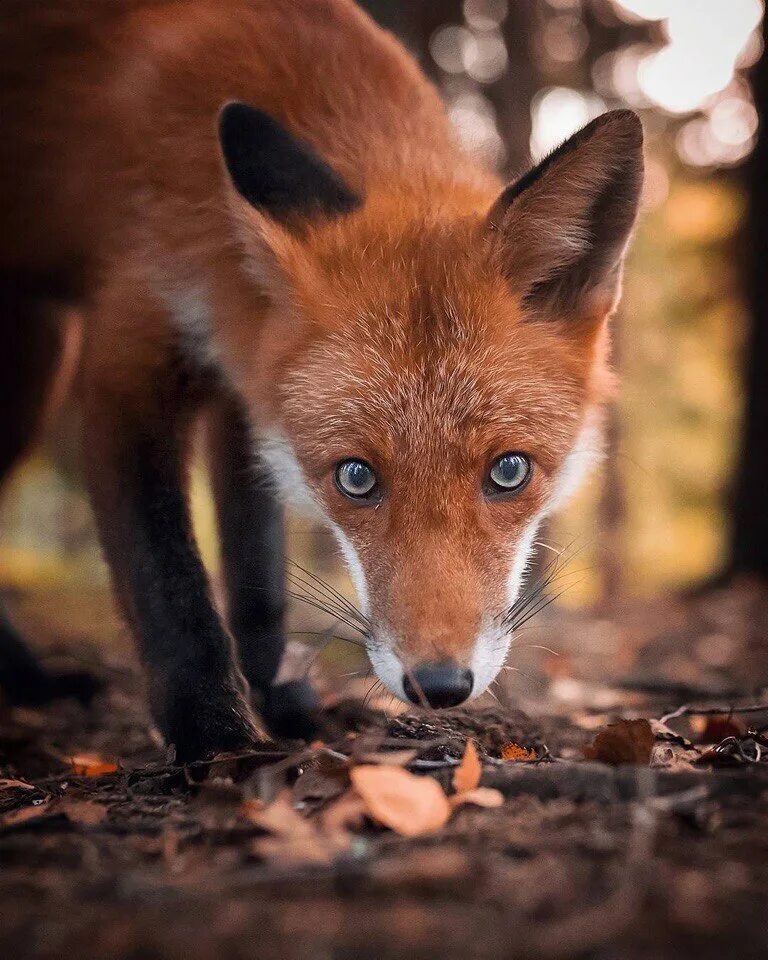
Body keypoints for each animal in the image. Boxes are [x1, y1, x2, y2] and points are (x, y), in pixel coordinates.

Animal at [0, 1, 644, 756]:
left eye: (509, 471)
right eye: (356, 477)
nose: (439, 685)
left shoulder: (246, 393)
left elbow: (257, 576)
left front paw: (286, 702)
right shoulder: (126, 350)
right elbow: (168, 579)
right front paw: (214, 736)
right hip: (40, 369)